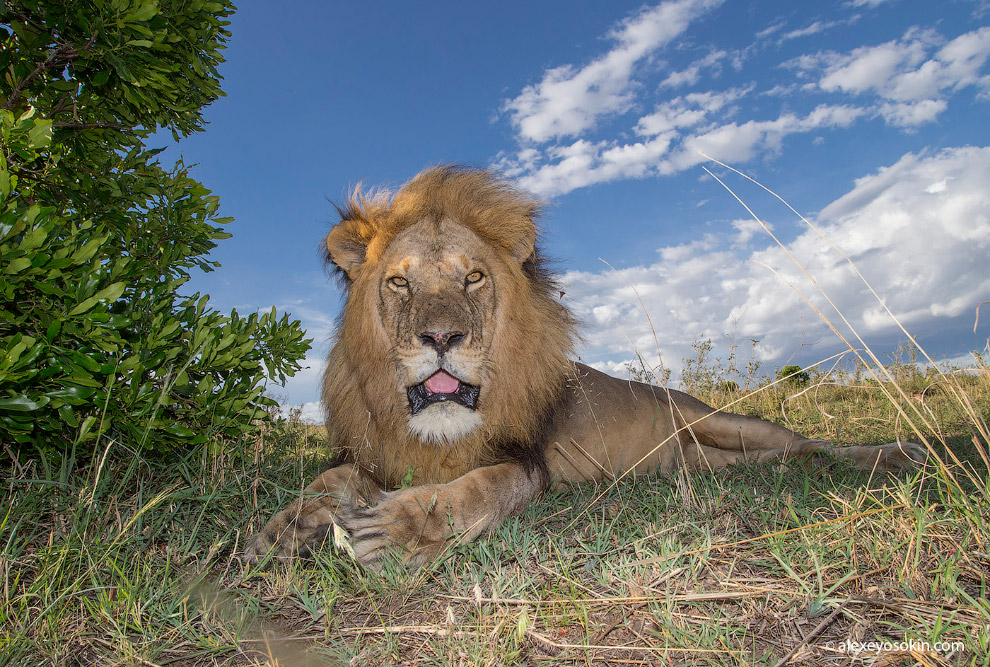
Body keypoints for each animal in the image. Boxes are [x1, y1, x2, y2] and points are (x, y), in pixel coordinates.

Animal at [242, 166, 928, 568]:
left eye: (473, 277)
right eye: (399, 284)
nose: (440, 337)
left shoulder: (529, 462)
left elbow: (475, 491)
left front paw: (399, 528)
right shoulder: (374, 453)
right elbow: (329, 482)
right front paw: (278, 532)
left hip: (724, 420)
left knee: (812, 443)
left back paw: (898, 453)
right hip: (714, 459)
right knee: (780, 458)